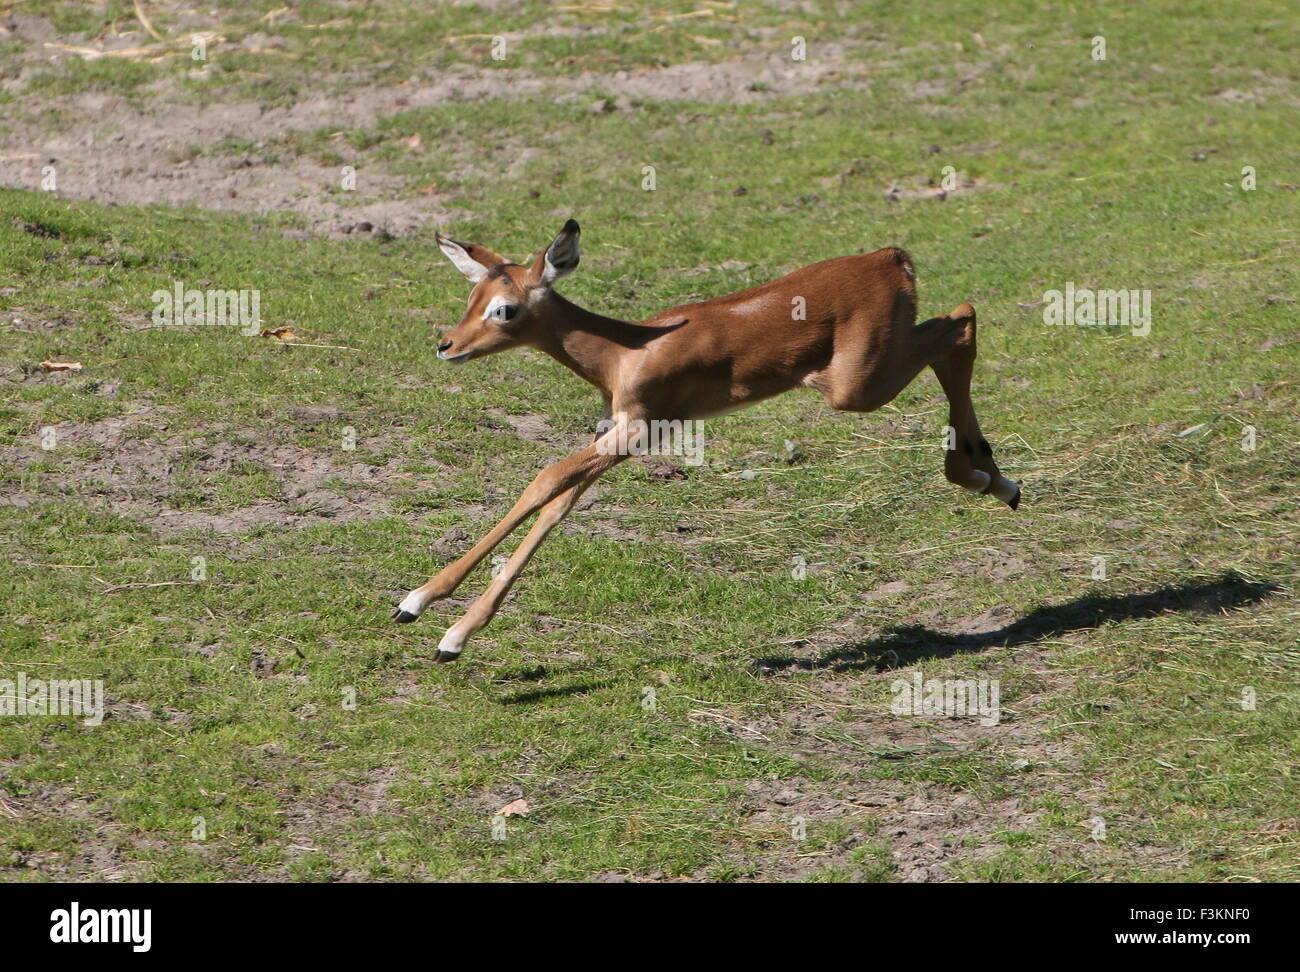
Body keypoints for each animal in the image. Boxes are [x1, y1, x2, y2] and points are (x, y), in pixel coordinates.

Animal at [390, 219, 1019, 660]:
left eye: (504, 308)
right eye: (471, 299)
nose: (447, 345)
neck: (625, 351)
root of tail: (888, 258)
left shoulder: (638, 430)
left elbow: (545, 480)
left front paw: (435, 618)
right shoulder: (614, 433)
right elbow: (555, 505)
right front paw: (433, 615)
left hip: (854, 386)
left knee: (962, 319)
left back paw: (984, 477)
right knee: (957, 326)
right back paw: (993, 480)